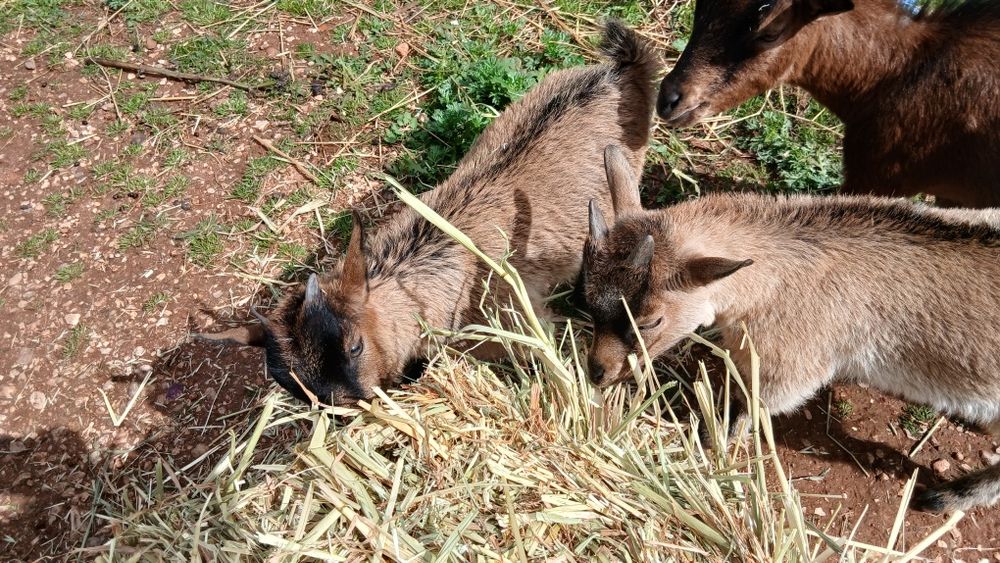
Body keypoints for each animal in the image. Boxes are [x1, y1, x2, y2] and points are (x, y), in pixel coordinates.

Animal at [581, 144, 1000, 512]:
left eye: (650, 320)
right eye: (586, 294)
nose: (597, 373)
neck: (771, 279)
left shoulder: (793, 362)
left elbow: (757, 401)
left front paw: (715, 439)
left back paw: (948, 496)